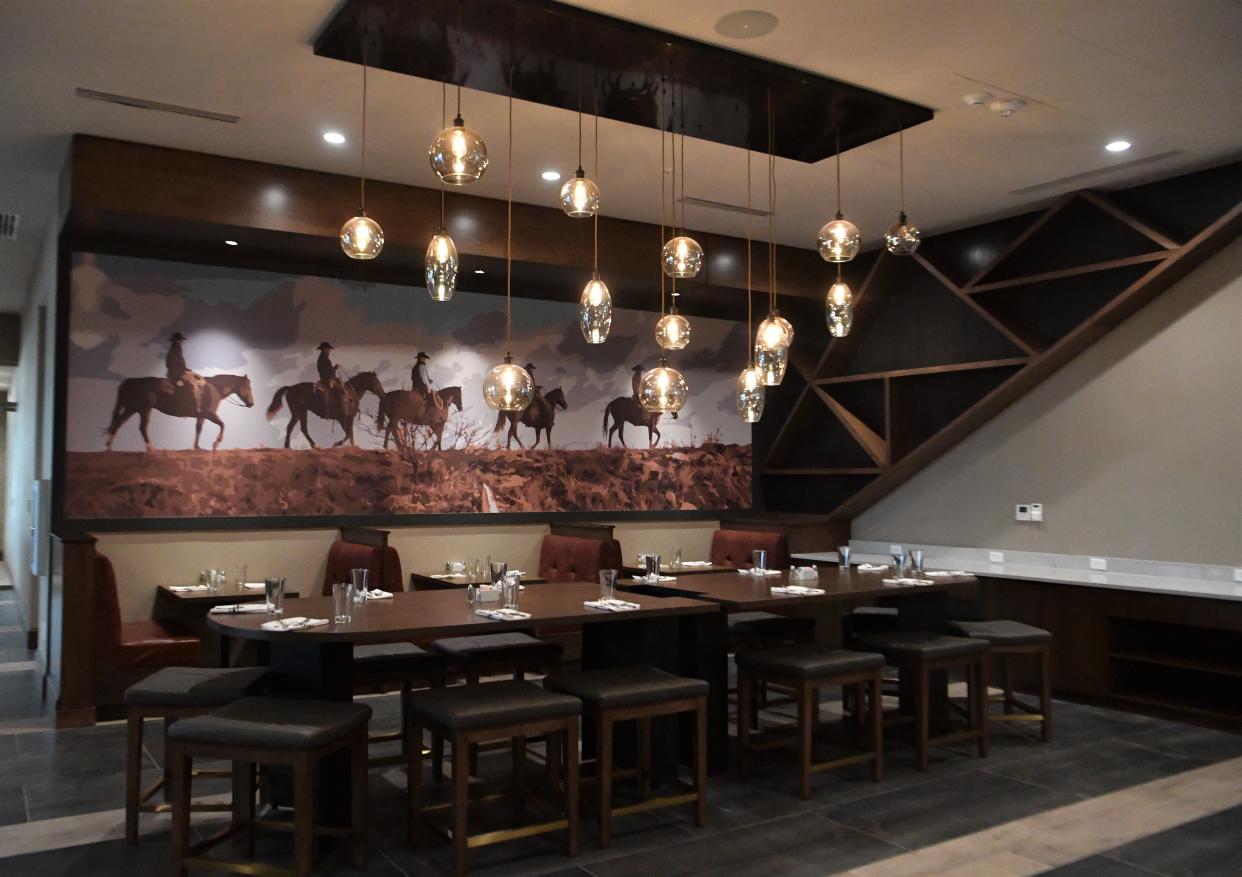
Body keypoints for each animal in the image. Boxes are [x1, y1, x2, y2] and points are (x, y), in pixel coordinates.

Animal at [105, 370, 255, 452]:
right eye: (247, 387)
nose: (251, 404)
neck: (213, 389)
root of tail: (131, 382)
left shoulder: (201, 416)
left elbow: (198, 429)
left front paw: (197, 447)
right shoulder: (209, 414)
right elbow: (222, 425)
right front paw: (216, 443)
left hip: (131, 409)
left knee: (117, 424)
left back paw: (109, 448)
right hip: (144, 409)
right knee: (142, 427)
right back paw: (151, 449)